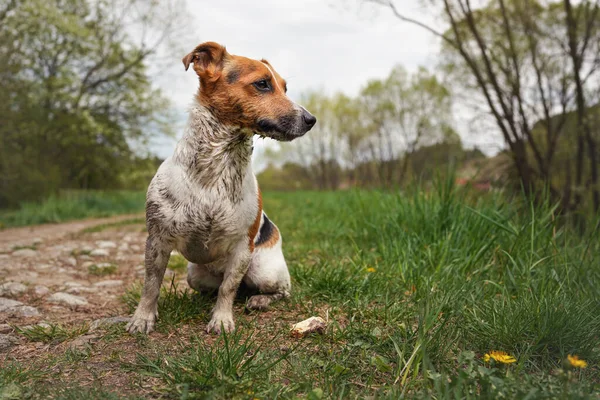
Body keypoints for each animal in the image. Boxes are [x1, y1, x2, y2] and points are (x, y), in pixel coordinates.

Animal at [125, 41, 316, 334]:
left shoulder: (242, 249)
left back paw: (259, 299)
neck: (216, 169)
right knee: (214, 289)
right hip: (195, 275)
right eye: (262, 84)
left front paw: (222, 319)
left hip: (263, 270)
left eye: (285, 87)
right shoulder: (157, 240)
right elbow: (151, 284)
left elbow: (229, 288)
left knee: (275, 291)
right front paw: (143, 318)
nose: (311, 119)